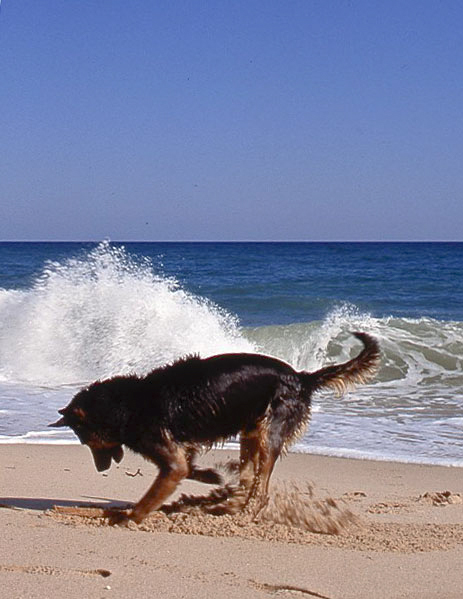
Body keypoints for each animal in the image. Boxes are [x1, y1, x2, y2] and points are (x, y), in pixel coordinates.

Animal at [50, 332, 380, 524]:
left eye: (85, 440)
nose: (100, 469)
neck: (124, 405)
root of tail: (301, 377)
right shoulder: (181, 455)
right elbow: (192, 469)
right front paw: (213, 478)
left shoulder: (170, 462)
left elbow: (155, 493)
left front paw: (129, 517)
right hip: (251, 428)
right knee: (248, 477)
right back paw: (224, 499)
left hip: (269, 432)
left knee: (261, 487)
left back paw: (243, 511)